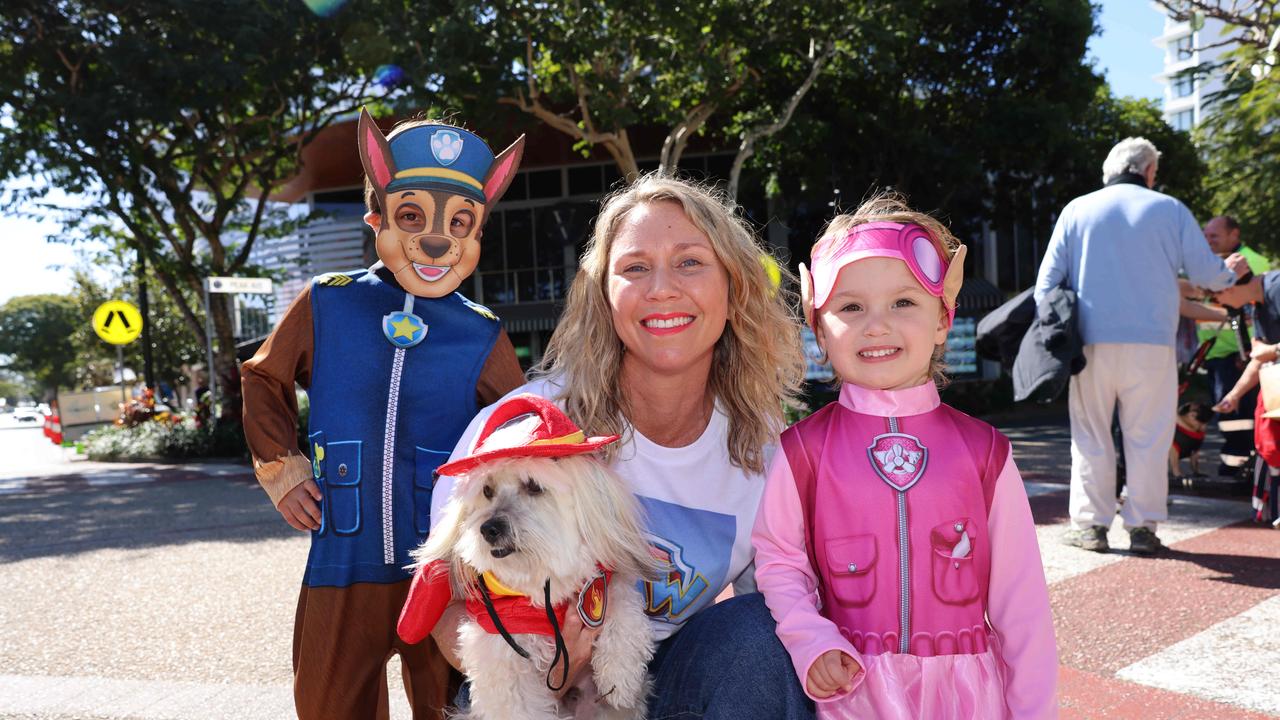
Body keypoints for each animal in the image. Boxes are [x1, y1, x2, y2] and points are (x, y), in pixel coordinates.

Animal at [396, 392, 660, 717]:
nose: (489, 528)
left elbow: (624, 609)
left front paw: (619, 676)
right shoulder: (501, 651)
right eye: (487, 490)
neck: (542, 577)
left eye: (534, 486)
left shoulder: (602, 583)